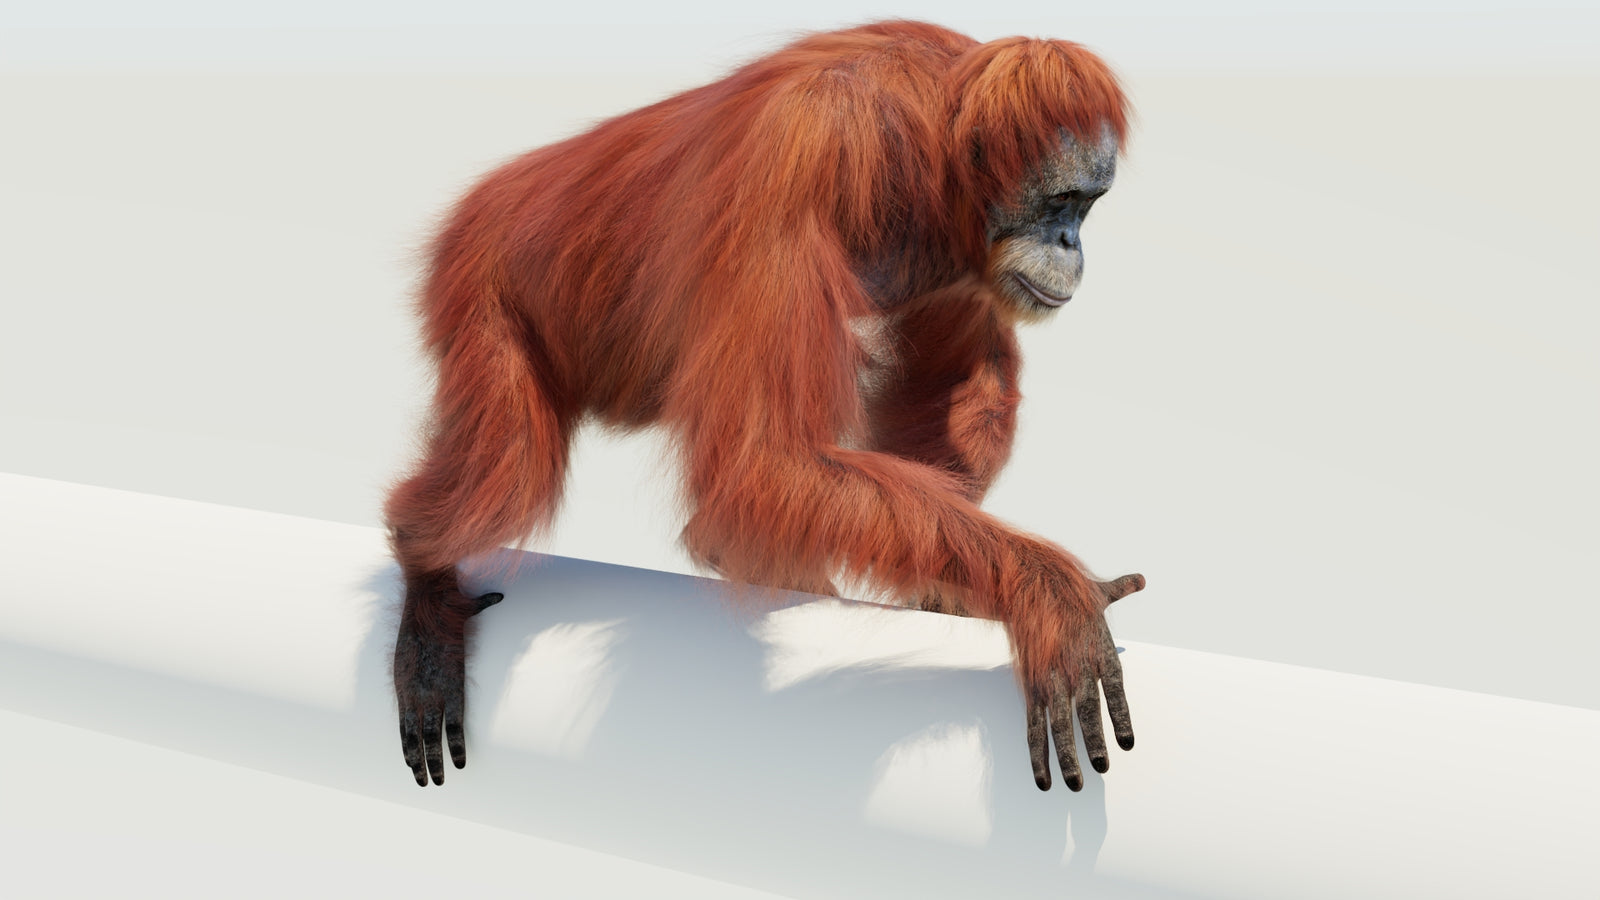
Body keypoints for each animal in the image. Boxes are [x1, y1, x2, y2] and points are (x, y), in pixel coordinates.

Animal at [385, 19, 1146, 793]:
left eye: (1087, 206)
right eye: (1062, 202)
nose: (1071, 244)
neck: (929, 141)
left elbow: (966, 386)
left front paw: (954, 592)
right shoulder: (798, 159)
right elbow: (763, 461)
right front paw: (1049, 595)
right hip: (479, 280)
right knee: (509, 478)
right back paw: (426, 583)